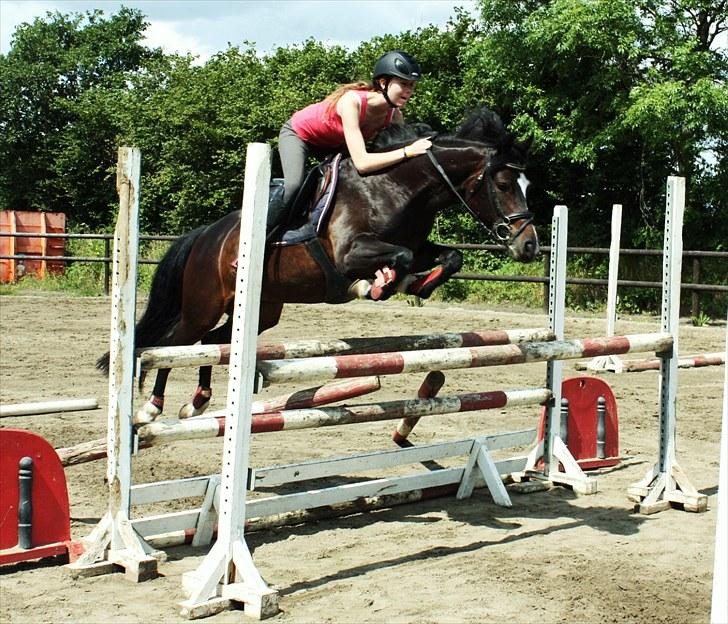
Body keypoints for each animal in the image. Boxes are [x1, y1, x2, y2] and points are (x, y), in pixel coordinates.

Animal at [99, 105, 540, 423]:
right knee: (173, 344)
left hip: (262, 310)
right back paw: (152, 406)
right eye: (503, 185)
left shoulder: (416, 245)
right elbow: (396, 259)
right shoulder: (349, 253)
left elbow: (448, 256)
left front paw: (412, 284)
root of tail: (207, 235)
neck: (395, 185)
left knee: (212, 343)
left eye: (527, 185)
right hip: (202, 305)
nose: (530, 245)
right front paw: (375, 285)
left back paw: (198, 399)